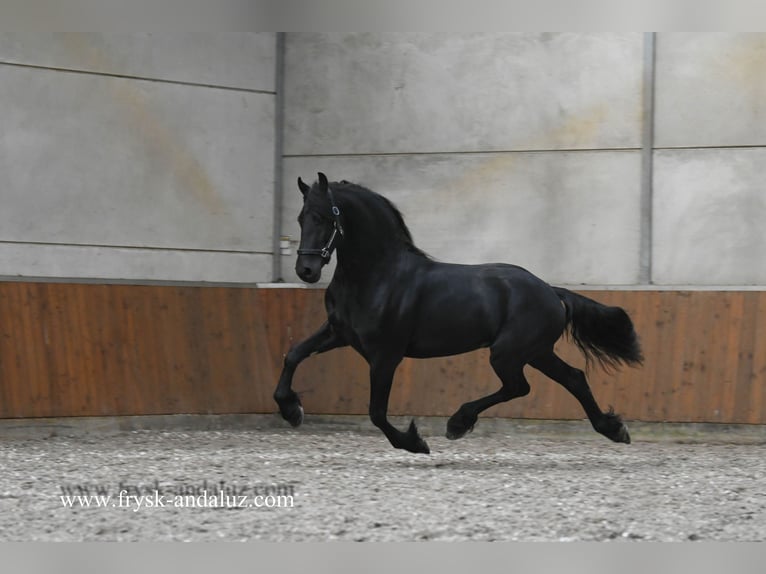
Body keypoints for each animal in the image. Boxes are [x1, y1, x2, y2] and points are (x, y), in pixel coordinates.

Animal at [273, 172, 643, 454]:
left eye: (325, 217)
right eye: (301, 218)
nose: (306, 270)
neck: (377, 275)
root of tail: (552, 291)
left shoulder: (385, 354)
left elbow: (377, 412)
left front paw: (415, 443)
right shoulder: (339, 333)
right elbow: (293, 354)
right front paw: (291, 410)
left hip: (508, 353)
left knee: (519, 387)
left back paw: (458, 422)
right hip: (536, 352)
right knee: (573, 378)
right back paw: (613, 429)